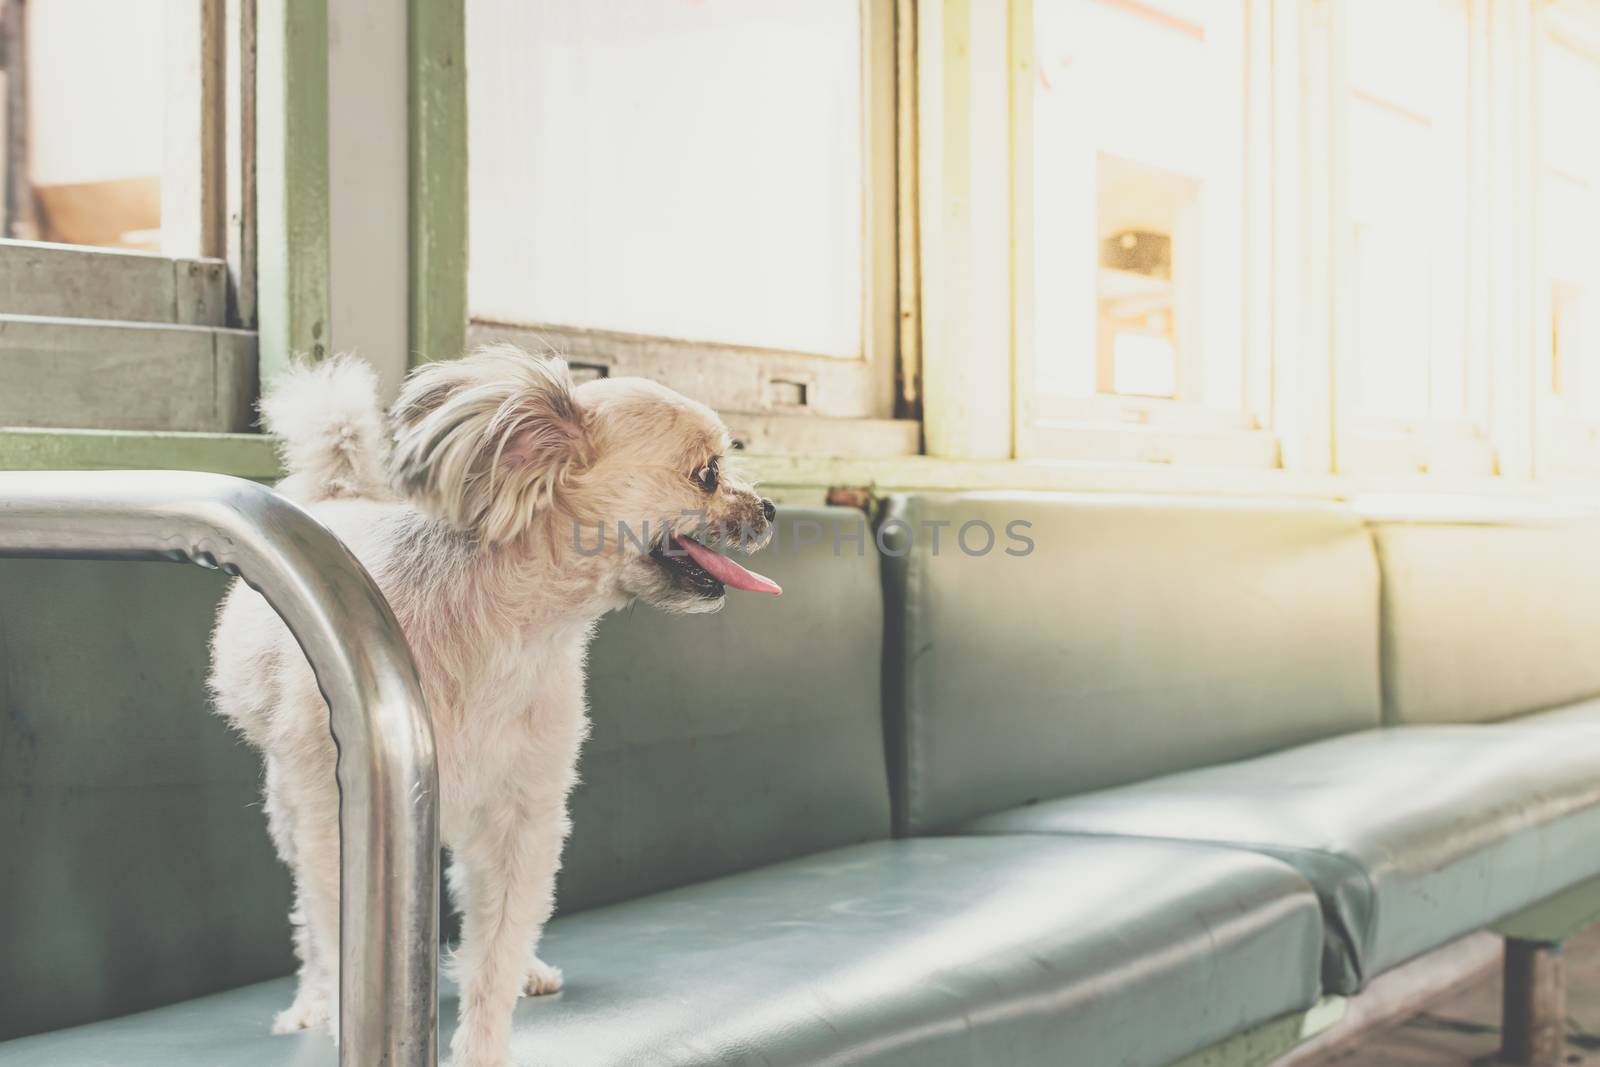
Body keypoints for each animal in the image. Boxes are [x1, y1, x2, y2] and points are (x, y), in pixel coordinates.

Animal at [206, 343, 780, 1067]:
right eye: (707, 474)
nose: (770, 507)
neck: (512, 635)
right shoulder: (336, 829)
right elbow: (334, 936)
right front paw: (335, 1009)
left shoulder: (523, 820)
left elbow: (495, 952)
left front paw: (484, 1042)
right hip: (290, 805)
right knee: (306, 920)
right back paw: (308, 1001)